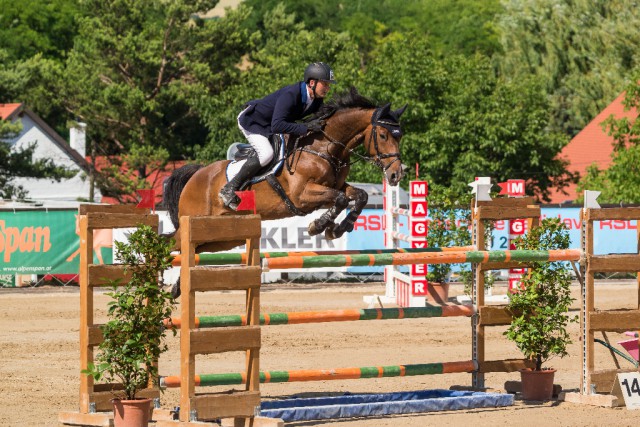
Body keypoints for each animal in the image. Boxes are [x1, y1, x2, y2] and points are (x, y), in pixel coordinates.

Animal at [164, 87, 404, 254]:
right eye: (383, 135)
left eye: (399, 136)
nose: (396, 174)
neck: (323, 147)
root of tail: (197, 175)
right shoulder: (302, 194)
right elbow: (341, 199)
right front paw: (317, 226)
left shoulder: (333, 187)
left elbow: (359, 196)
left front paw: (336, 228)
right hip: (194, 221)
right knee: (171, 245)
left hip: (223, 237)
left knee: (194, 250)